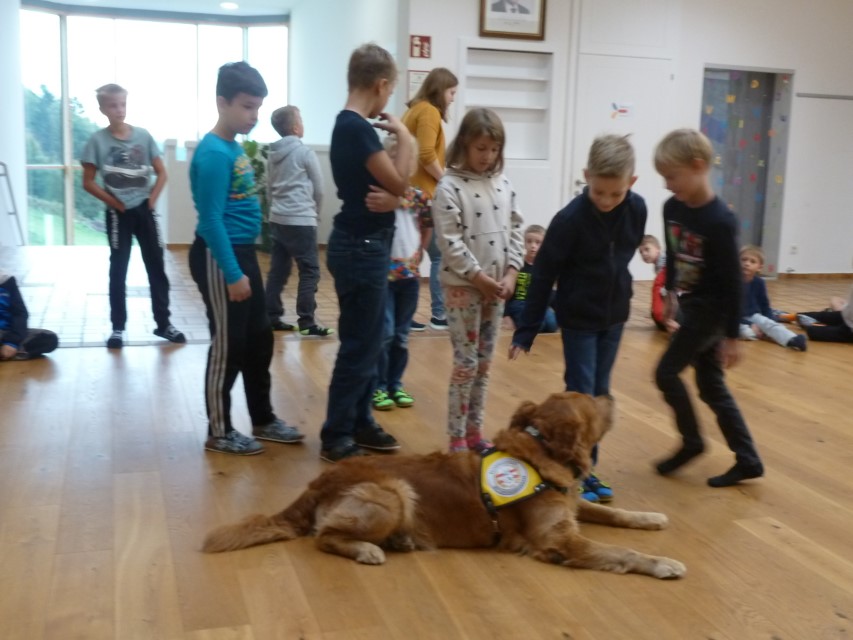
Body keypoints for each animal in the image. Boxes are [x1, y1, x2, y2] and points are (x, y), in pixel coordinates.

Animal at [202, 392, 686, 579]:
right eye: (592, 402)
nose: (611, 396)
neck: (540, 452)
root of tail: (317, 481)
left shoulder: (569, 505)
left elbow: (612, 512)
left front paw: (651, 517)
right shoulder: (559, 539)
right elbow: (622, 552)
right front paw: (663, 563)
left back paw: (399, 541)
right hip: (393, 492)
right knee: (325, 536)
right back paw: (368, 549)